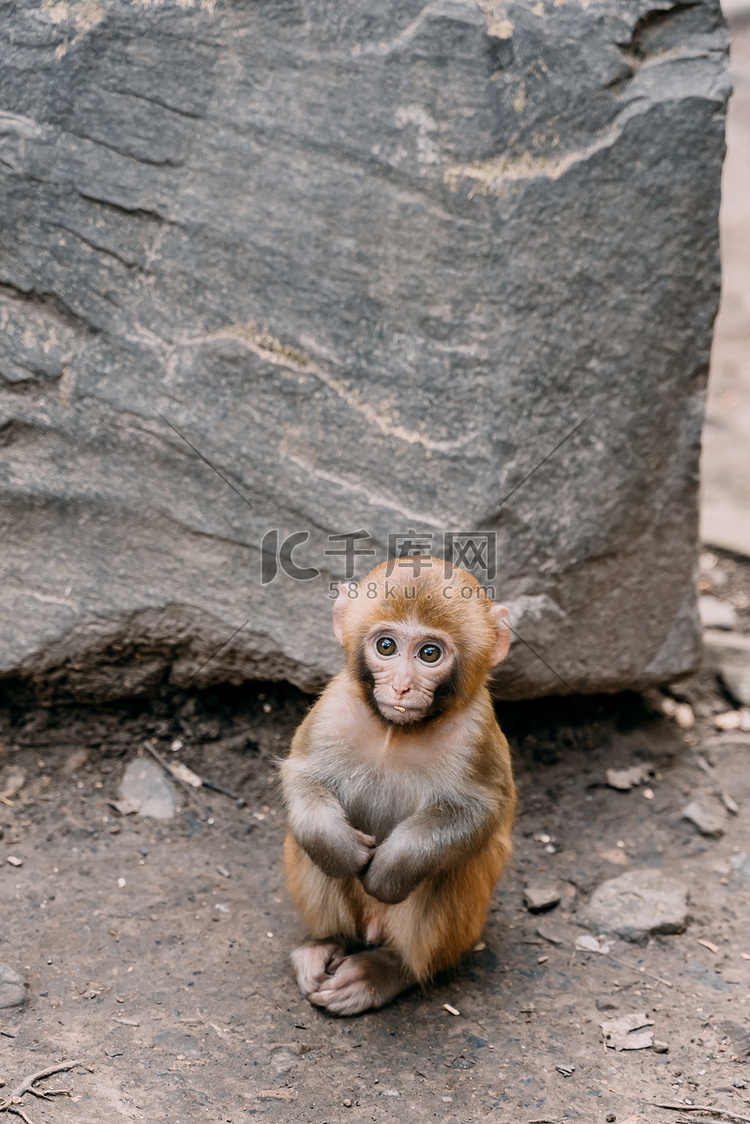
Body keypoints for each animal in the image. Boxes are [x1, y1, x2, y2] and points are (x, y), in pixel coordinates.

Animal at [281, 559, 517, 1020]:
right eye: (386, 646)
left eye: (430, 653)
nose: (402, 687)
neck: (396, 730)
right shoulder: (332, 707)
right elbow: (302, 777)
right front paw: (338, 845)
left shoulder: (475, 735)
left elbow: (481, 814)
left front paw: (391, 868)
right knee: (308, 846)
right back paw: (327, 944)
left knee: (447, 871)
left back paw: (389, 969)